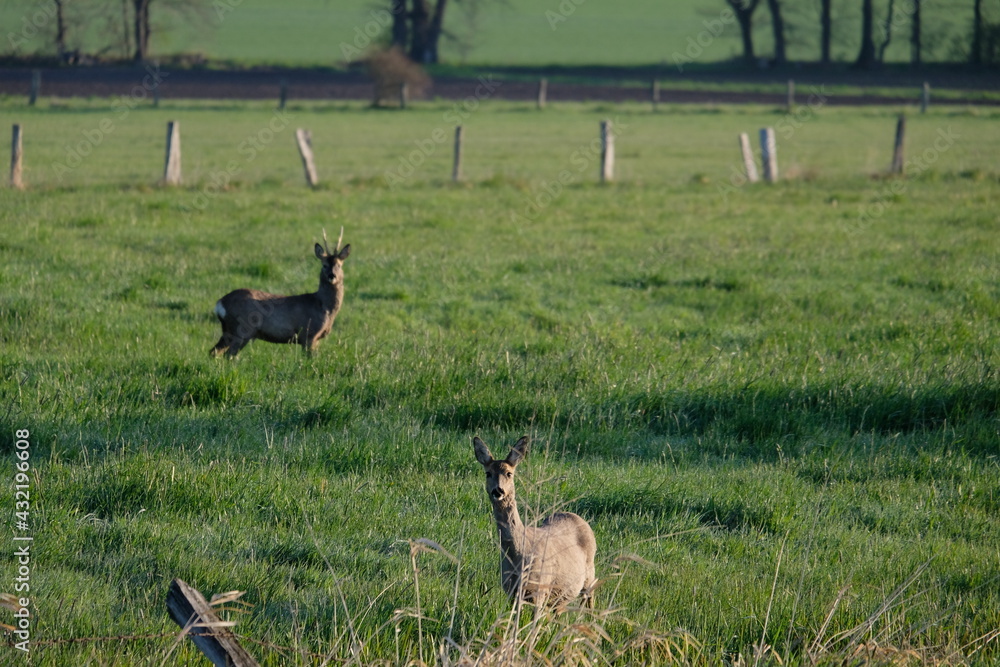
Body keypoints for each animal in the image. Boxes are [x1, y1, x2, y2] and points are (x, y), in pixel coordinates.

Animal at [209, 230, 350, 358]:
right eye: (324, 265)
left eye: (339, 265)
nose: (332, 276)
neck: (323, 306)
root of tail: (220, 303)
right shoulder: (308, 334)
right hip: (242, 329)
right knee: (228, 355)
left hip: (228, 330)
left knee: (213, 352)